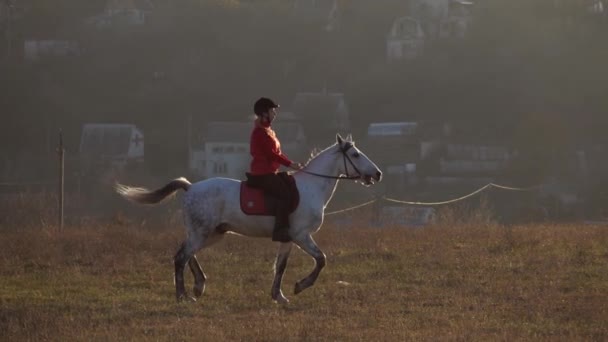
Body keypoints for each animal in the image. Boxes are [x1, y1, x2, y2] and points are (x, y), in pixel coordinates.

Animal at [114, 135, 380, 304]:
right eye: (355, 154)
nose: (377, 174)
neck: (311, 187)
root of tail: (190, 187)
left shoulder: (288, 238)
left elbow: (281, 266)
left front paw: (279, 296)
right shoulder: (301, 235)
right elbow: (321, 259)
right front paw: (300, 286)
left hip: (212, 233)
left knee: (186, 254)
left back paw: (199, 286)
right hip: (202, 233)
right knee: (181, 257)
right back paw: (183, 296)